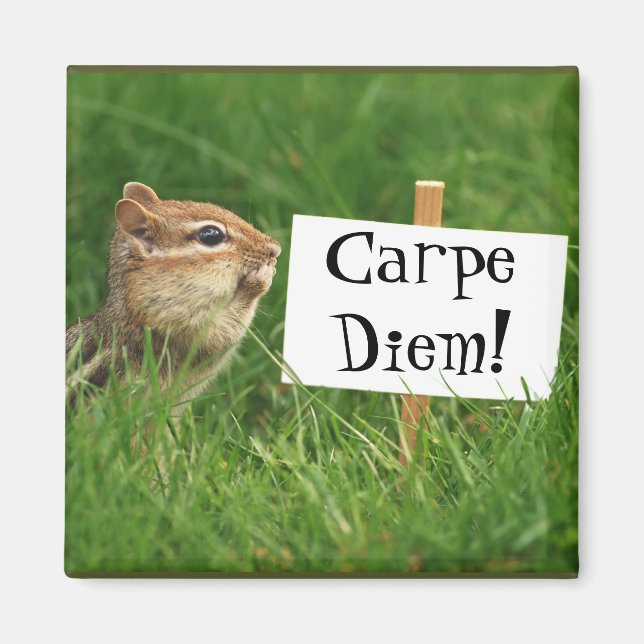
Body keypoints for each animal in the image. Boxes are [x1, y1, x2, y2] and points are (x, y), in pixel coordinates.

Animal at [66, 182, 281, 401]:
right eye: (211, 235)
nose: (275, 249)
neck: (129, 306)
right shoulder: (174, 322)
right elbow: (221, 334)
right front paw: (261, 277)